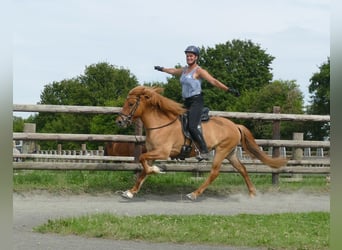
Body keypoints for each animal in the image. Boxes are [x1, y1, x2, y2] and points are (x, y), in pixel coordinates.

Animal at [116, 87, 288, 200]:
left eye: (131, 103)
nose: (119, 121)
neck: (160, 124)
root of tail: (235, 125)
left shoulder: (162, 152)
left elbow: (142, 160)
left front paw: (157, 170)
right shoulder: (153, 153)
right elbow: (143, 171)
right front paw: (131, 191)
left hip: (221, 151)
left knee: (214, 173)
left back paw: (194, 194)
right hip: (230, 153)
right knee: (242, 169)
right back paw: (252, 193)